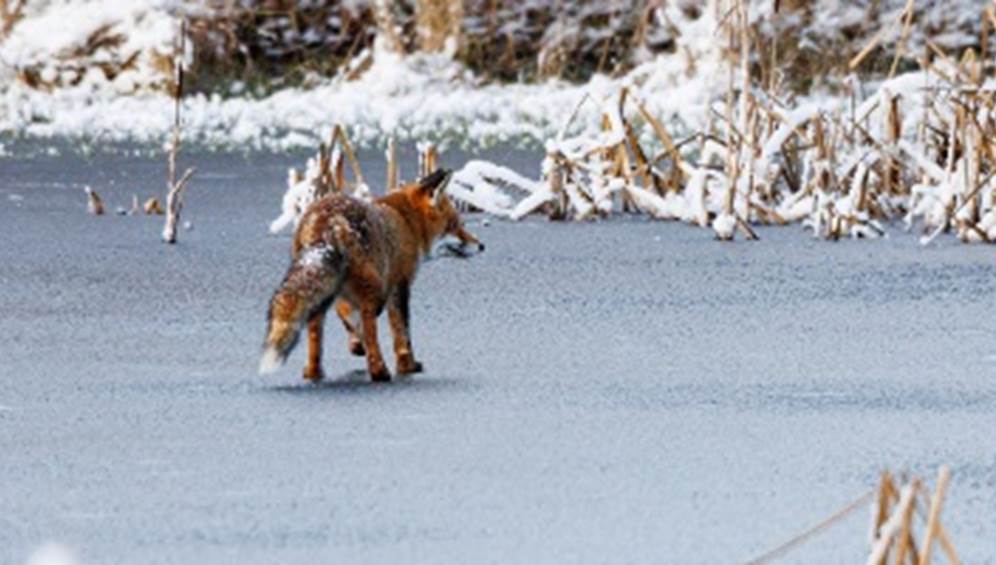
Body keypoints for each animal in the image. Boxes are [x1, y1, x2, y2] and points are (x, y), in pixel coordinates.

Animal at [258, 170, 484, 382]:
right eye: (455, 225)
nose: (482, 246)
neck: (407, 221)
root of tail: (327, 222)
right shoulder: (398, 284)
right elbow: (402, 332)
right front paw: (407, 365)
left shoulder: (351, 290)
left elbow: (347, 315)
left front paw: (357, 344)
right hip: (373, 290)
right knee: (369, 324)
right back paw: (379, 371)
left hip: (328, 289)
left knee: (315, 327)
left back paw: (314, 372)